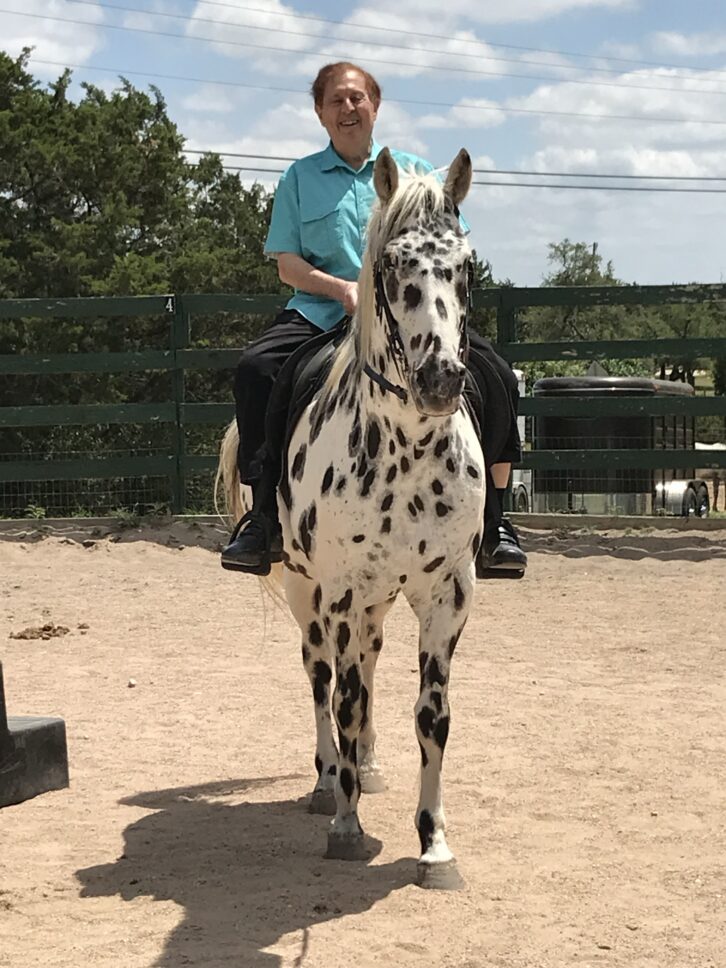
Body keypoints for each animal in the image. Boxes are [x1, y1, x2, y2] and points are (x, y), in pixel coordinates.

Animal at [218, 147, 485, 889]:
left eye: (466, 263)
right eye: (390, 266)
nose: (441, 379)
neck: (408, 452)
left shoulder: (447, 594)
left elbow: (432, 717)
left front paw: (434, 846)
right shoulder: (337, 592)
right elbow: (344, 699)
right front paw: (345, 823)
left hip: (377, 600)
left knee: (364, 662)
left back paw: (363, 766)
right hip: (308, 592)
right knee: (322, 679)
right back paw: (328, 781)